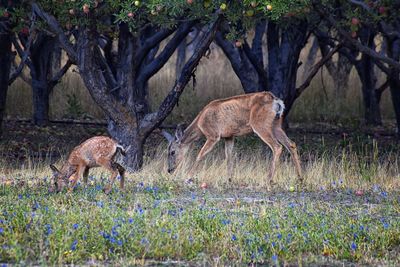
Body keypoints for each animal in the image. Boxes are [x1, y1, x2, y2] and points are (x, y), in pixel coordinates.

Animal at [162, 92, 304, 191]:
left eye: (172, 152)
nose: (169, 169)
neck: (200, 123)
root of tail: (276, 101)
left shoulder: (213, 135)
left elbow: (200, 155)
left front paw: (188, 178)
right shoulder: (229, 136)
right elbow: (229, 157)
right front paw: (229, 180)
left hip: (260, 124)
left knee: (277, 146)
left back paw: (269, 181)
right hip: (276, 125)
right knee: (291, 144)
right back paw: (300, 179)